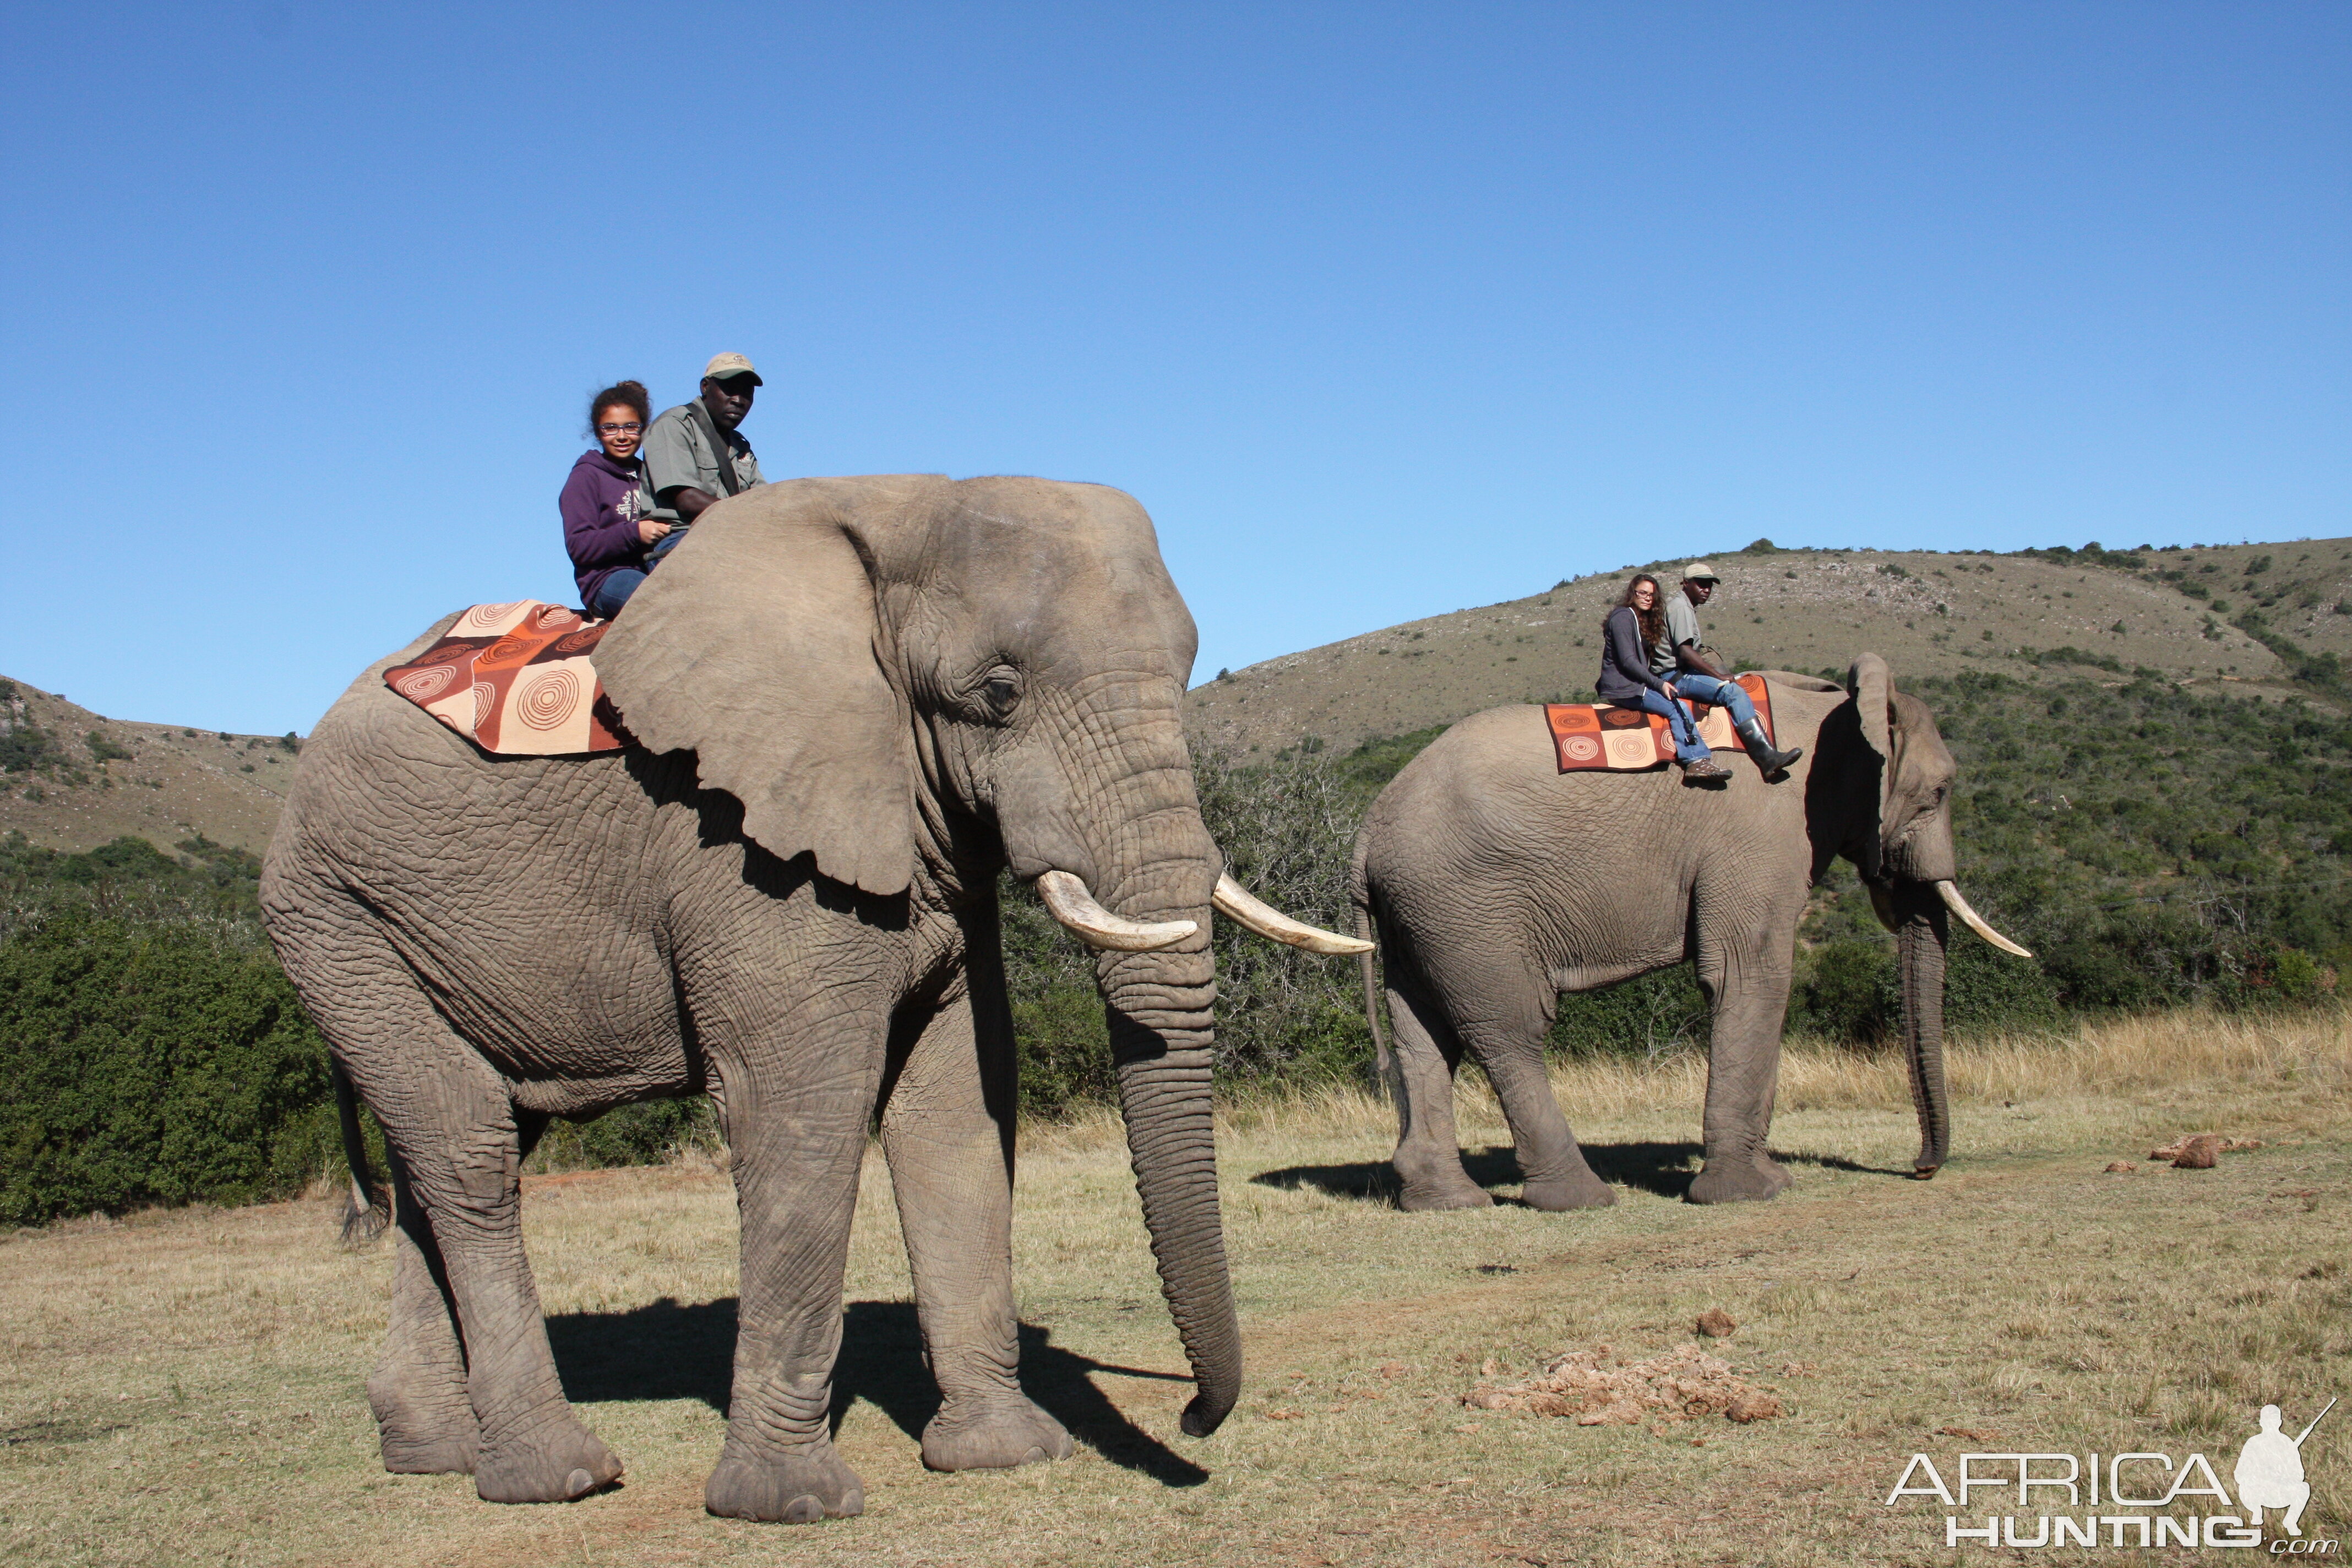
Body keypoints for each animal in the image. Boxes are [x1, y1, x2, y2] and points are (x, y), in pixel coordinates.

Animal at [260, 475, 1373, 1523]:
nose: (1191, 1413)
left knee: (449, 1148)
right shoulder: (741, 850)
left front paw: (1008, 1452)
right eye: (999, 691)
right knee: (470, 1151)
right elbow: (802, 1114)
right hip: (332, 911)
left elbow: (957, 1110)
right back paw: (558, 1474)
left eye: (1185, 674)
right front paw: (791, 1505)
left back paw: (436, 1451)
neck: (900, 514)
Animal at [1354, 658, 2032, 1213]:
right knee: (1510, 1028)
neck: (1837, 708)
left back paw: (1447, 1202)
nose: (1921, 1168)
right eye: (1939, 791)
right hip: (1469, 903)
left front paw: (1767, 1179)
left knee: (1424, 1035)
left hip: (1424, 911)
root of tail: (1369, 826)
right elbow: (1751, 975)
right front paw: (1751, 1194)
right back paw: (1581, 1199)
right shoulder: (1761, 835)